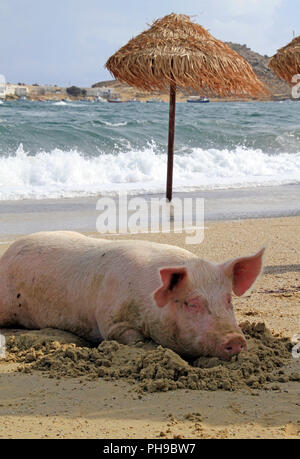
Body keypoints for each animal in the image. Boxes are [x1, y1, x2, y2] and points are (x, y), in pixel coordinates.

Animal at [0, 232, 264, 362]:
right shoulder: (111, 321)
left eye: (228, 300)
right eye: (192, 303)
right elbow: (131, 338)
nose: (235, 339)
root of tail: (7, 252)